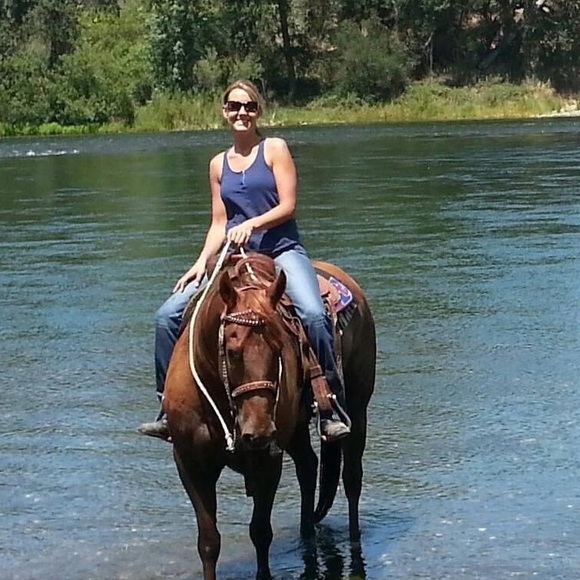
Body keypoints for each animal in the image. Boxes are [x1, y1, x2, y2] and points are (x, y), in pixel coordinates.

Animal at [162, 253, 376, 580]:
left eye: (278, 346)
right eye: (232, 350)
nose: (259, 430)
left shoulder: (268, 459)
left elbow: (260, 533)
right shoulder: (189, 461)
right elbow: (209, 542)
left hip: (357, 409)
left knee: (352, 479)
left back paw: (353, 542)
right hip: (296, 428)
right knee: (308, 466)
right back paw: (306, 534)